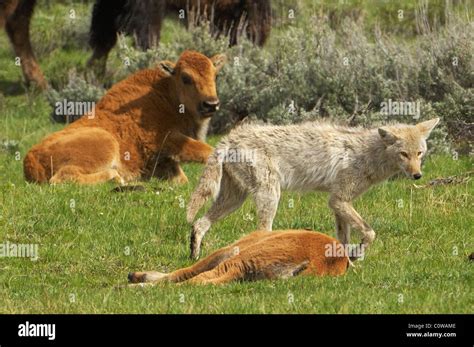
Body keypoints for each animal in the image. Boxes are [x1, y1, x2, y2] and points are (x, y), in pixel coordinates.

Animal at [23, 50, 226, 186]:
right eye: (185, 78)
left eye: (215, 76)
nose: (211, 104)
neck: (168, 94)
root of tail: (30, 160)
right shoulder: (164, 139)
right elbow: (206, 150)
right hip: (106, 142)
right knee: (62, 177)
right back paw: (116, 178)